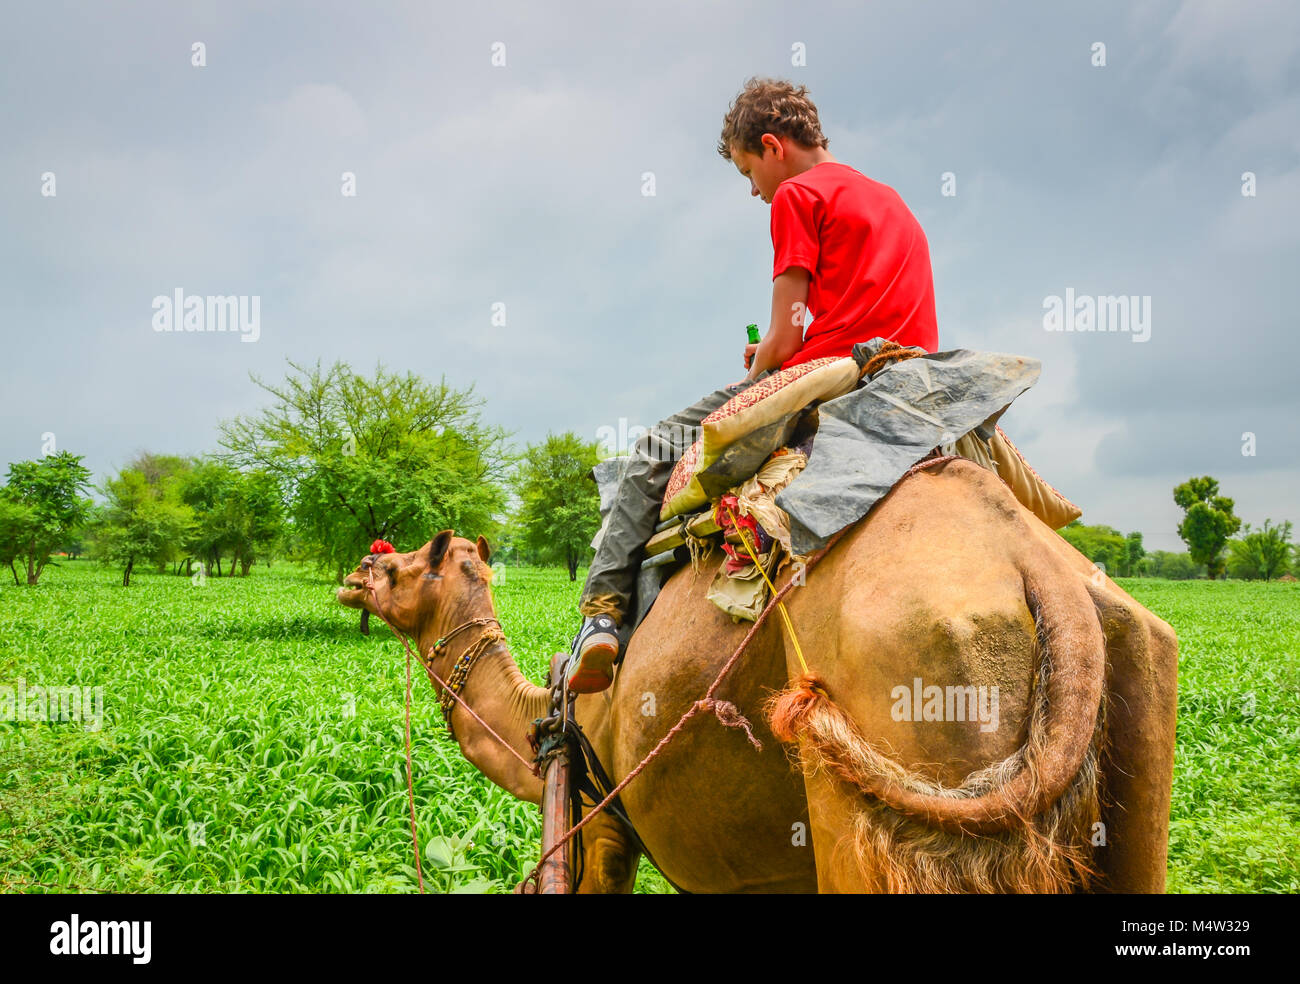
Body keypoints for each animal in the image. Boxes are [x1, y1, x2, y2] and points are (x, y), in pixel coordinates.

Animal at [335, 456, 1178, 893]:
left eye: (397, 566)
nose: (352, 574)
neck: (540, 711)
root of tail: (1038, 565)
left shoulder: (600, 819)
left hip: (921, 692)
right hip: (1135, 693)